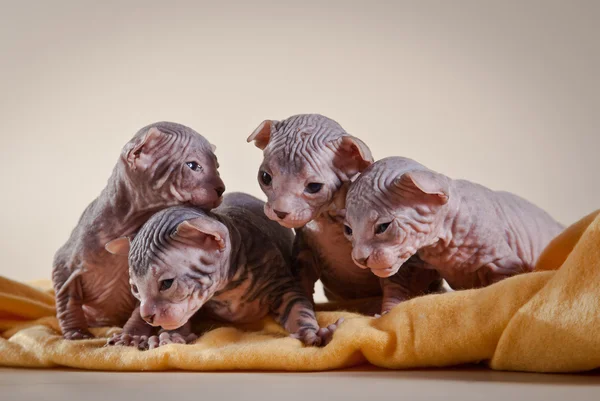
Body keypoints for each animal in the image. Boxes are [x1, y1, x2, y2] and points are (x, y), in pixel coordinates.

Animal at [51, 121, 225, 338]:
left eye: (217, 167)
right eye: (193, 166)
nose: (222, 188)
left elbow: (143, 308)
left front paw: (131, 336)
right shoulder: (63, 262)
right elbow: (67, 301)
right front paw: (76, 333)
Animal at [103, 192, 338, 348]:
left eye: (167, 283)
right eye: (135, 289)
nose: (148, 316)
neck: (226, 289)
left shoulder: (281, 284)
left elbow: (298, 308)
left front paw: (309, 333)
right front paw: (172, 336)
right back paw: (131, 336)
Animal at [247, 114, 440, 314]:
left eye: (314, 187)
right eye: (265, 178)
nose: (279, 211)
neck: (327, 221)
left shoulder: (389, 250)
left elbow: (394, 282)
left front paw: (388, 311)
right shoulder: (305, 249)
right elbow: (302, 282)